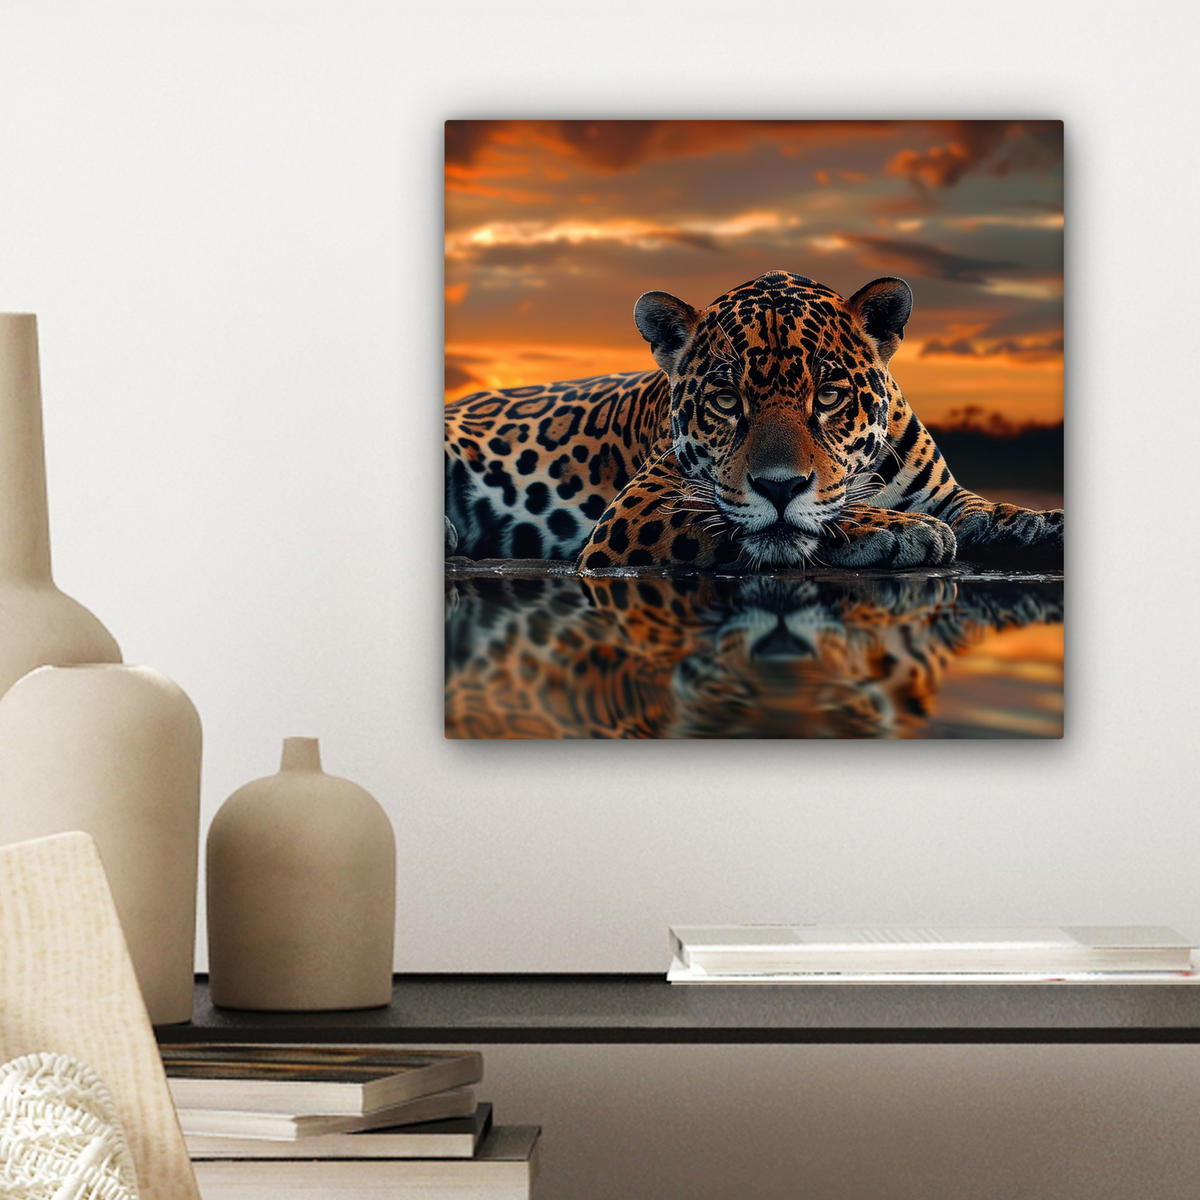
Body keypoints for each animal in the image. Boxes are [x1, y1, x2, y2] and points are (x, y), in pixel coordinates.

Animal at [444, 270, 1063, 572]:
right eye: (725, 401)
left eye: (829, 395)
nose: (779, 487)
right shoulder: (638, 509)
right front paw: (901, 529)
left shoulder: (945, 493)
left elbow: (985, 508)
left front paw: (1040, 523)